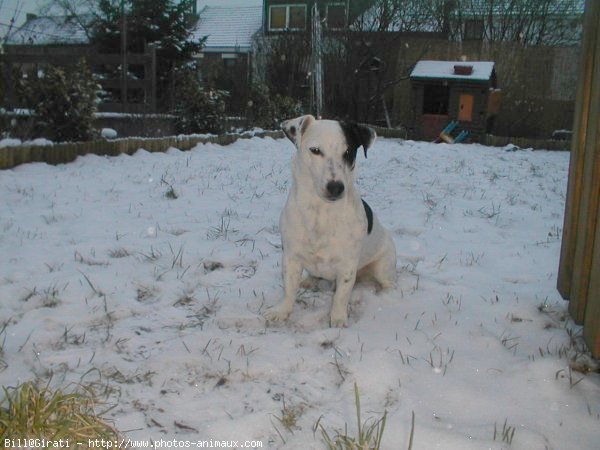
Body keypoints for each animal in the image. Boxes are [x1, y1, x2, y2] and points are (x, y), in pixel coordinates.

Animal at [264, 116, 396, 326]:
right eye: (315, 150)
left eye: (348, 152)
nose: (336, 187)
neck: (321, 211)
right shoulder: (291, 257)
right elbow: (289, 289)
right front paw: (282, 310)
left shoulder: (347, 266)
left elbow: (341, 296)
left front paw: (338, 319)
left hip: (383, 266)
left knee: (387, 281)